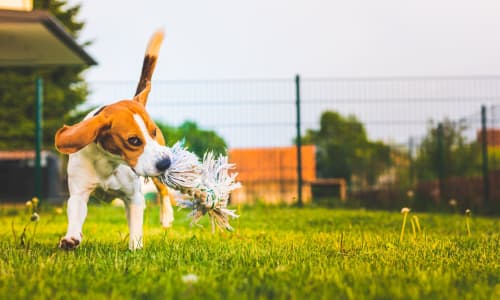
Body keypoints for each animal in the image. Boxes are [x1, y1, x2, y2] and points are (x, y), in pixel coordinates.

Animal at [55, 29, 174, 251]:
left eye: (153, 132)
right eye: (133, 140)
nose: (165, 162)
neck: (108, 162)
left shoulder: (134, 197)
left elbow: (136, 226)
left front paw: (136, 249)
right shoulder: (79, 192)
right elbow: (75, 213)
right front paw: (71, 238)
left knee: (163, 191)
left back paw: (166, 216)